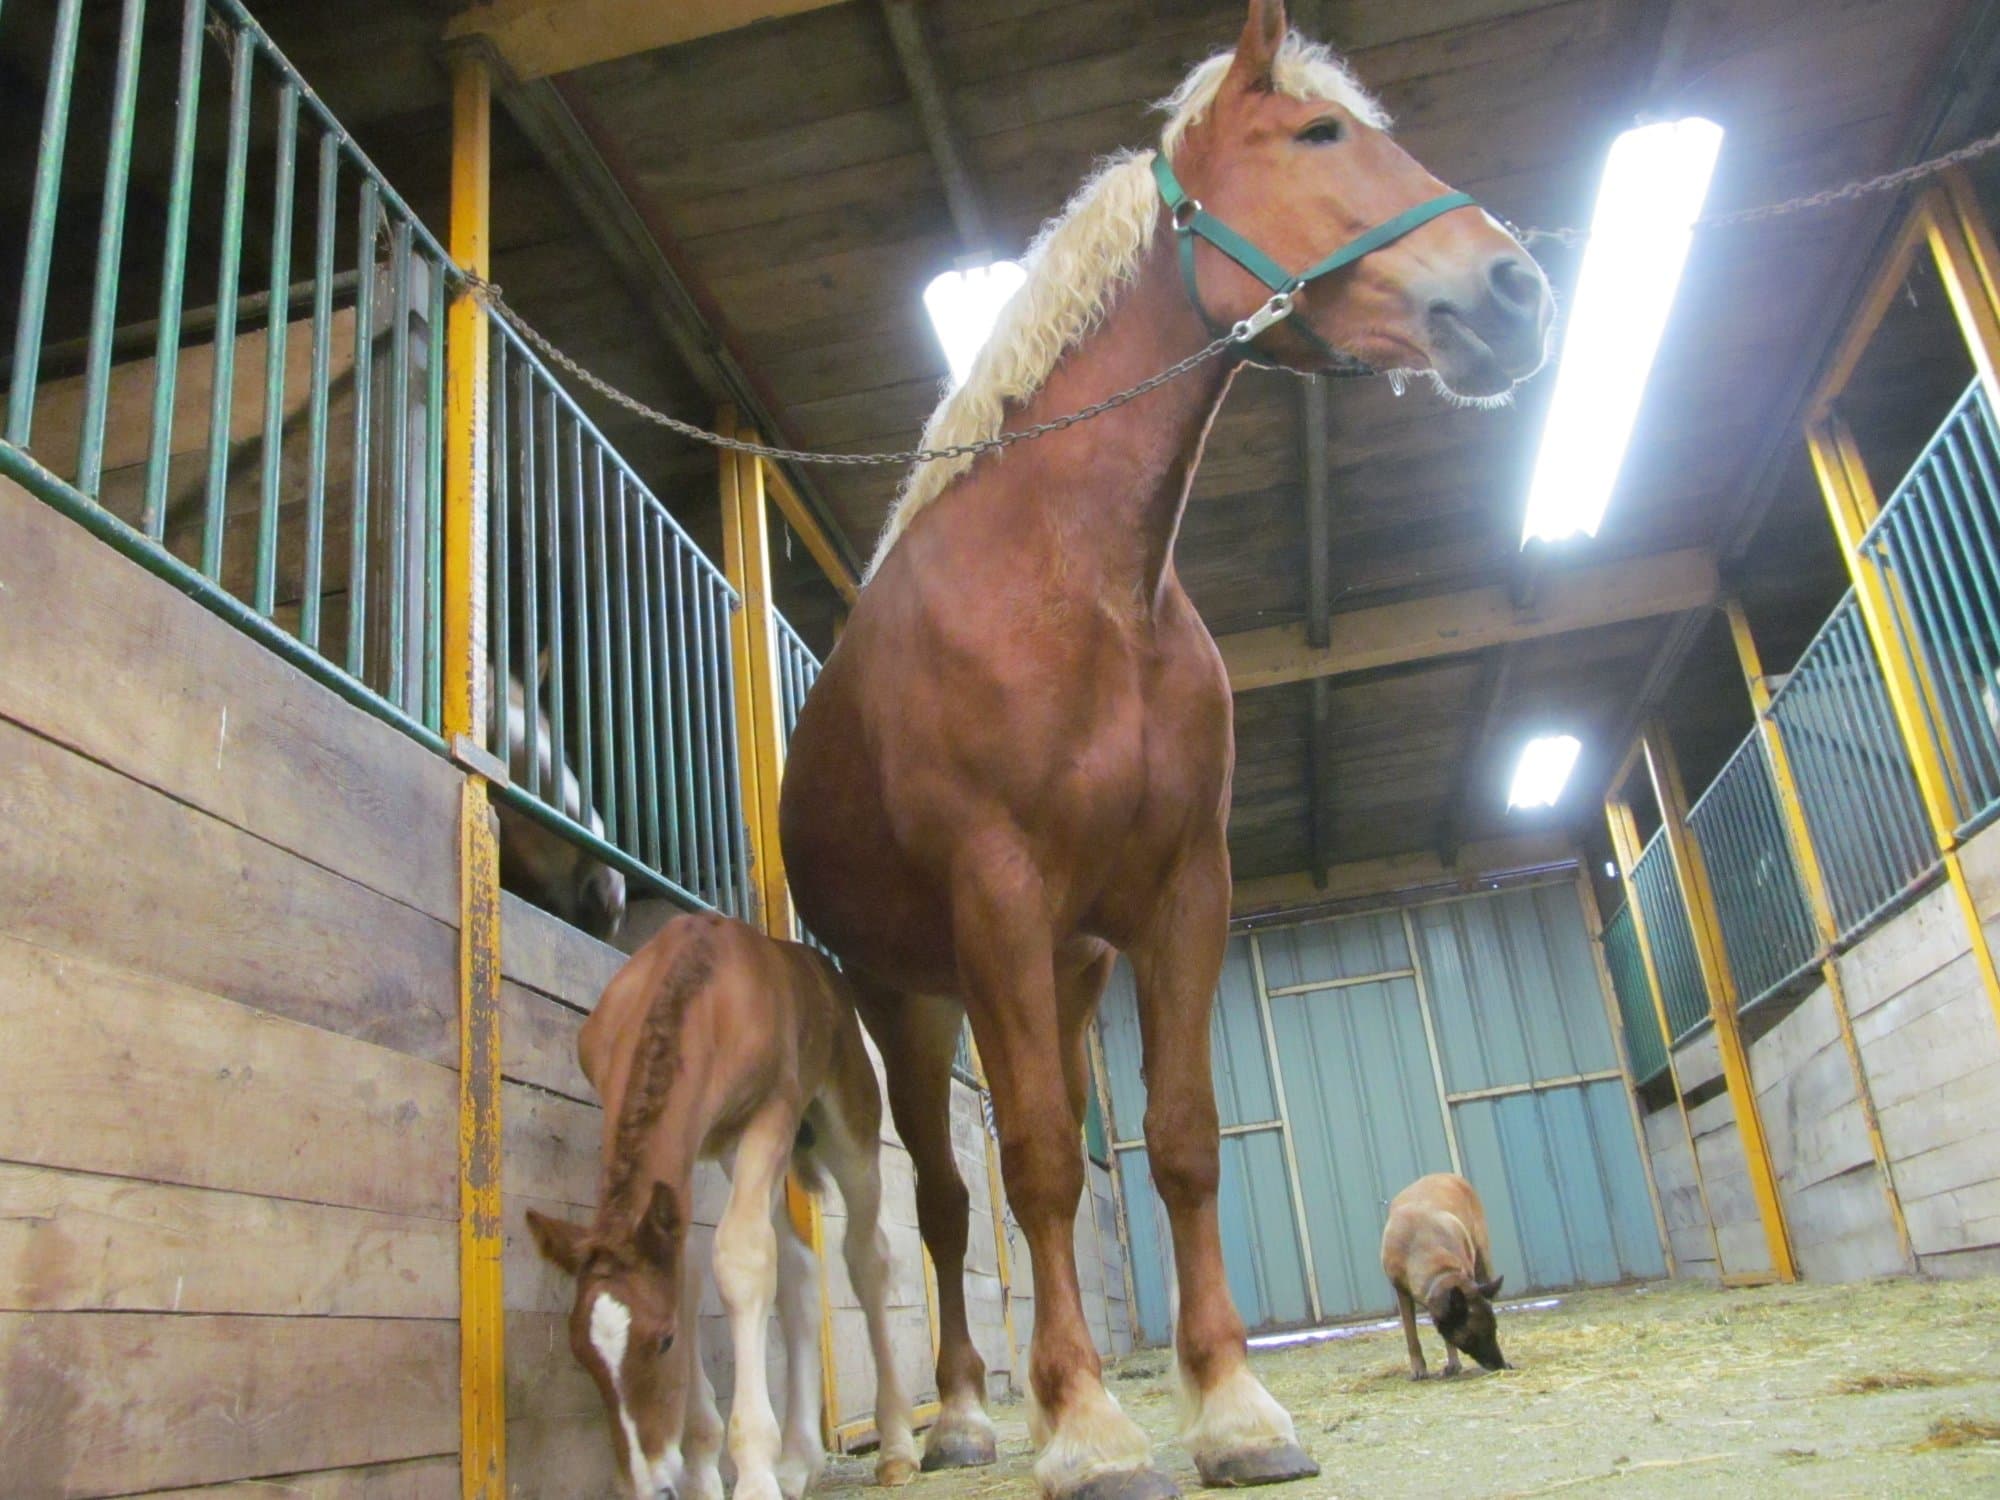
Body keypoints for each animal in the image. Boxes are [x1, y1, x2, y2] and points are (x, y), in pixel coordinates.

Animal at [526, 911, 919, 1500]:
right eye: (582, 1355)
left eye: (664, 1342)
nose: (648, 1487)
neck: (702, 996)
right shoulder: (686, 1145)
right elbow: (689, 1269)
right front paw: (702, 1472)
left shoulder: (771, 1111)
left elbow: (740, 1260)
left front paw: (753, 1474)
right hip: (739, 1151)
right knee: (800, 1267)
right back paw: (798, 1463)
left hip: (848, 1123)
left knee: (866, 1257)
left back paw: (896, 1448)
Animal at [777, 4, 1552, 1495]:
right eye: (1318, 134)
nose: (1515, 292)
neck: (1077, 588)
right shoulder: (996, 901)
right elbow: (1030, 1164)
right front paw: (1086, 1430)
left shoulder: (1182, 893)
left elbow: (1180, 1143)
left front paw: (1231, 1408)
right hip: (911, 998)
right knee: (950, 1204)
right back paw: (963, 1417)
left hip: (1066, 978)